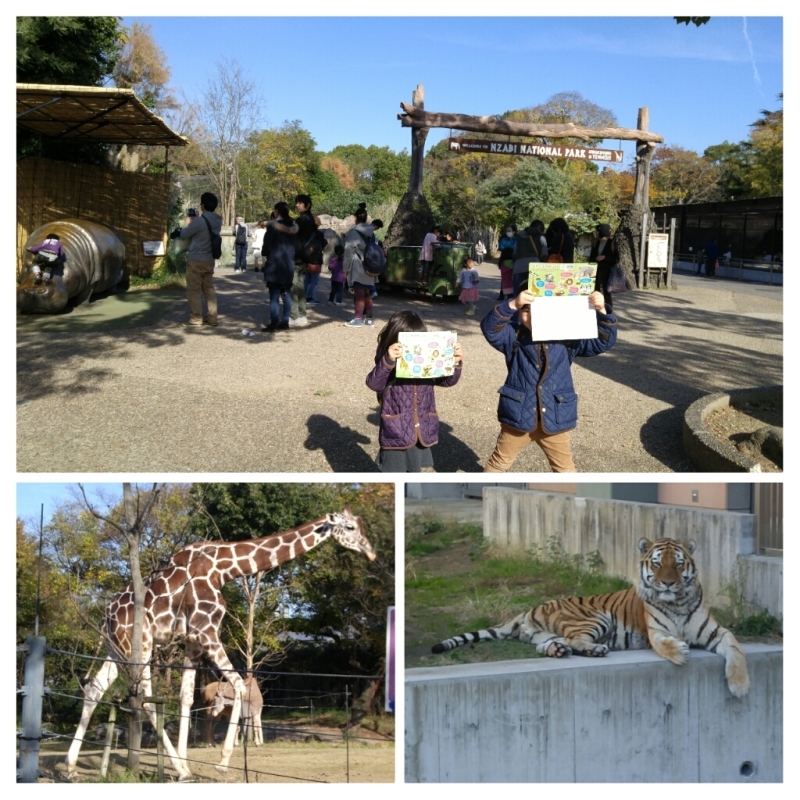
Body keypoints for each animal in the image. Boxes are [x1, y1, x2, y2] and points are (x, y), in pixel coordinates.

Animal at [64, 506, 376, 780]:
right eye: (350, 527)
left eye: (361, 525)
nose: (371, 552)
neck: (224, 568)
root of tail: (106, 616)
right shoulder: (207, 632)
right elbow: (238, 685)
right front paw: (221, 763)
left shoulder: (193, 641)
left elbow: (187, 697)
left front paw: (188, 763)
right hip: (139, 645)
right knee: (145, 697)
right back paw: (177, 769)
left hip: (116, 649)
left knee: (95, 689)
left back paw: (71, 767)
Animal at [432, 536, 752, 700]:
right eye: (658, 564)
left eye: (679, 563)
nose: (668, 584)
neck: (679, 603)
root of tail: (533, 608)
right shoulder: (656, 632)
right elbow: (665, 644)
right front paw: (680, 652)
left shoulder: (718, 632)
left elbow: (736, 650)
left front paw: (739, 687)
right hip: (595, 618)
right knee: (576, 640)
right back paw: (595, 649)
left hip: (548, 634)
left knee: (551, 645)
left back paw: (559, 651)